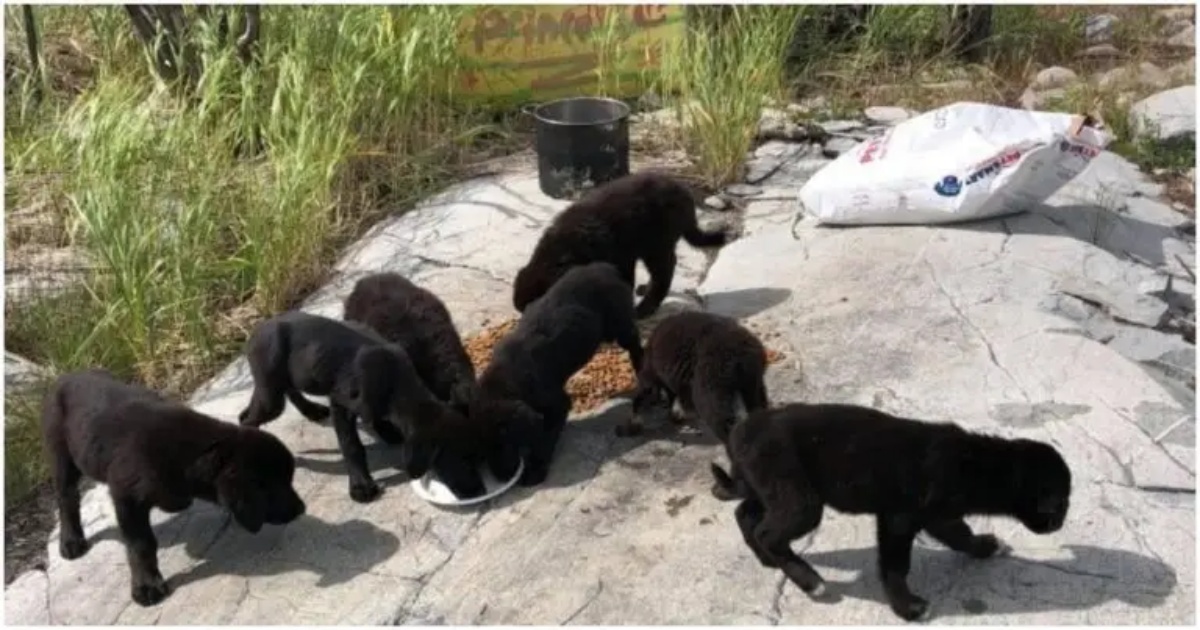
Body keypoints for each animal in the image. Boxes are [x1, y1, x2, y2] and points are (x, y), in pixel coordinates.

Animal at [42, 369, 307, 604]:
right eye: (270, 487)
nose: (301, 509)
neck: (189, 454)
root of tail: (64, 377)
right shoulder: (127, 497)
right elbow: (141, 544)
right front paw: (147, 585)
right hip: (61, 454)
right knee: (67, 498)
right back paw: (71, 541)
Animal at [470, 260, 643, 487]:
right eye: (483, 448)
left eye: (503, 441)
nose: (502, 477)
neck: (507, 378)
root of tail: (605, 267)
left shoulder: (557, 404)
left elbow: (544, 439)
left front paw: (535, 470)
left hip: (620, 324)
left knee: (635, 344)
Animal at [619, 309, 768, 441]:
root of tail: (742, 353)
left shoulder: (657, 374)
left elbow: (649, 394)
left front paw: (635, 420)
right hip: (754, 384)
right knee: (758, 408)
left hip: (711, 382)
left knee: (720, 418)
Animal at [705, 403, 1075, 619]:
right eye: (1059, 502)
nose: (1059, 524)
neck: (975, 466)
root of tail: (738, 430)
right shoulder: (899, 518)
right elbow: (896, 564)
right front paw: (906, 606)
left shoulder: (937, 515)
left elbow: (960, 534)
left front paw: (984, 546)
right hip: (799, 500)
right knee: (767, 531)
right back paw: (810, 581)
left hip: (768, 489)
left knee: (746, 516)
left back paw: (768, 560)